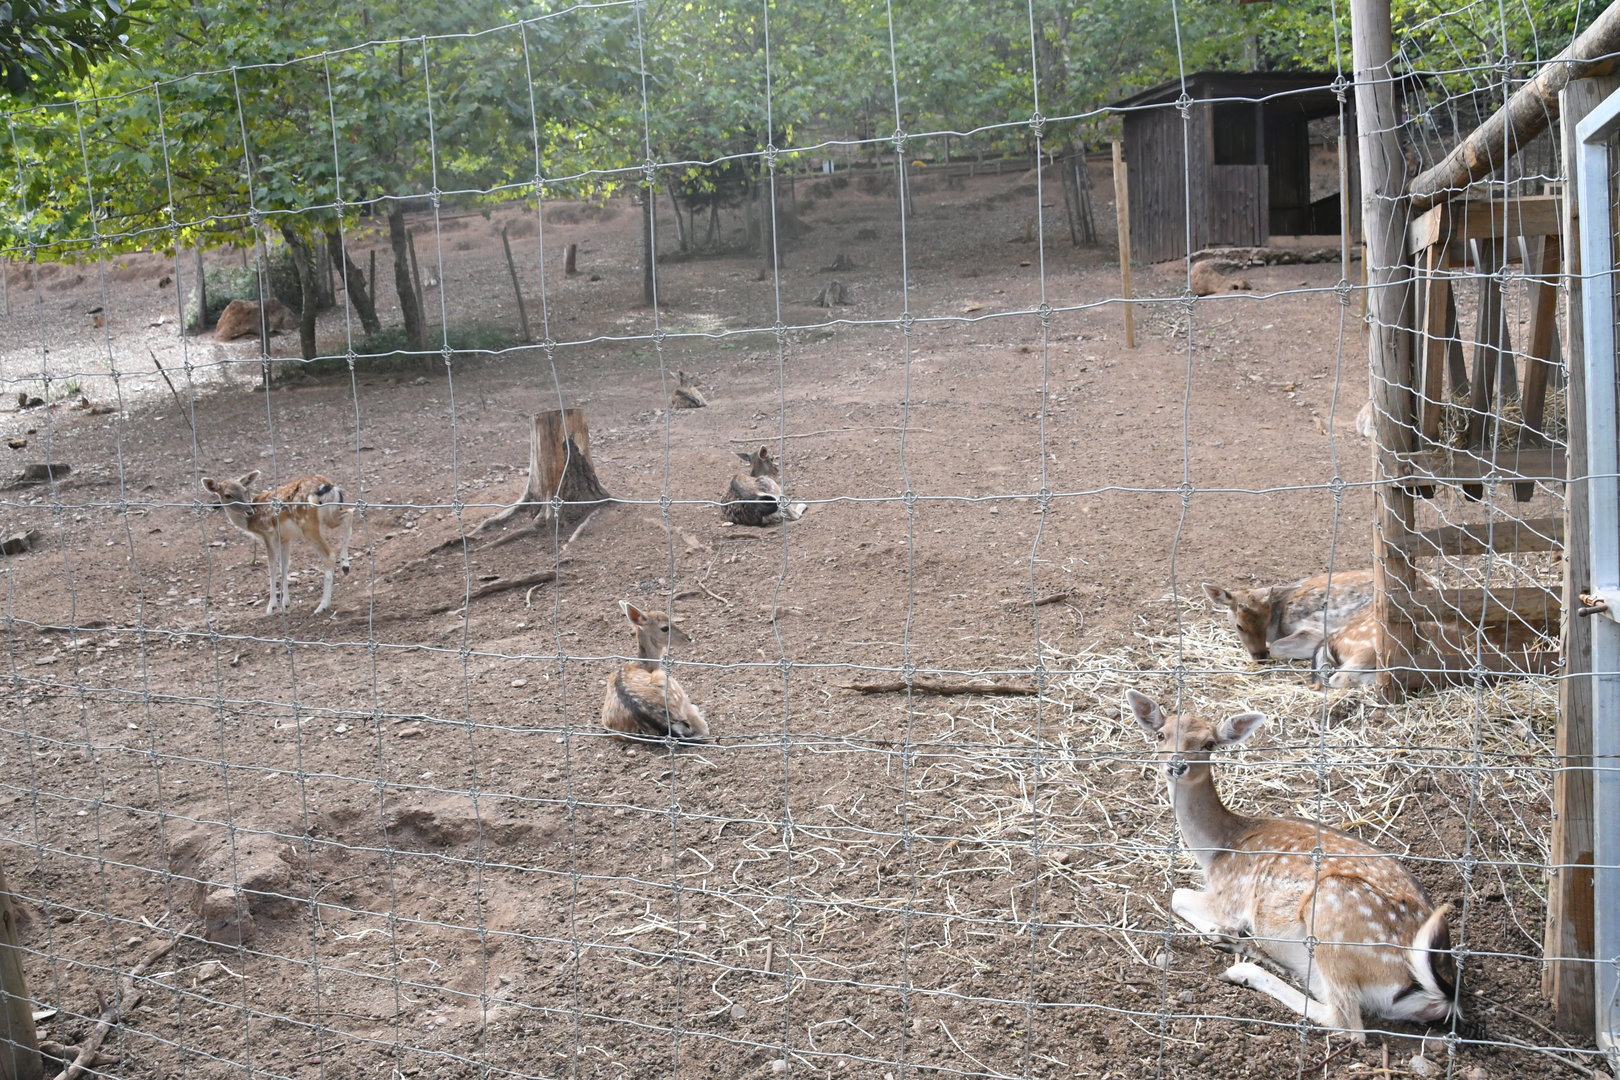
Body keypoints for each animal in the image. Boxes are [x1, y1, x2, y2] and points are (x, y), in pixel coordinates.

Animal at [200, 471, 353, 615]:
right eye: (228, 495)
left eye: (245, 490)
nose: (249, 511)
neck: (250, 523)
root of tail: (327, 486)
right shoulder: (285, 538)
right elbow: (284, 565)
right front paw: (285, 603)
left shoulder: (267, 533)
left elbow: (272, 566)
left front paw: (271, 606)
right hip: (331, 515)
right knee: (349, 513)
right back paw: (345, 564)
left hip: (308, 524)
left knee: (329, 554)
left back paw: (323, 605)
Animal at [1124, 689, 1462, 1042]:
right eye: (1161, 734)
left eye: (1209, 744)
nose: (1177, 765)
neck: (1217, 848)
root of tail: (1435, 997)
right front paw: (1225, 935)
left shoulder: (1229, 897)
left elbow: (1176, 896)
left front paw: (1222, 931)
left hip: (1333, 914)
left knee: (1347, 1022)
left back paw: (1243, 966)